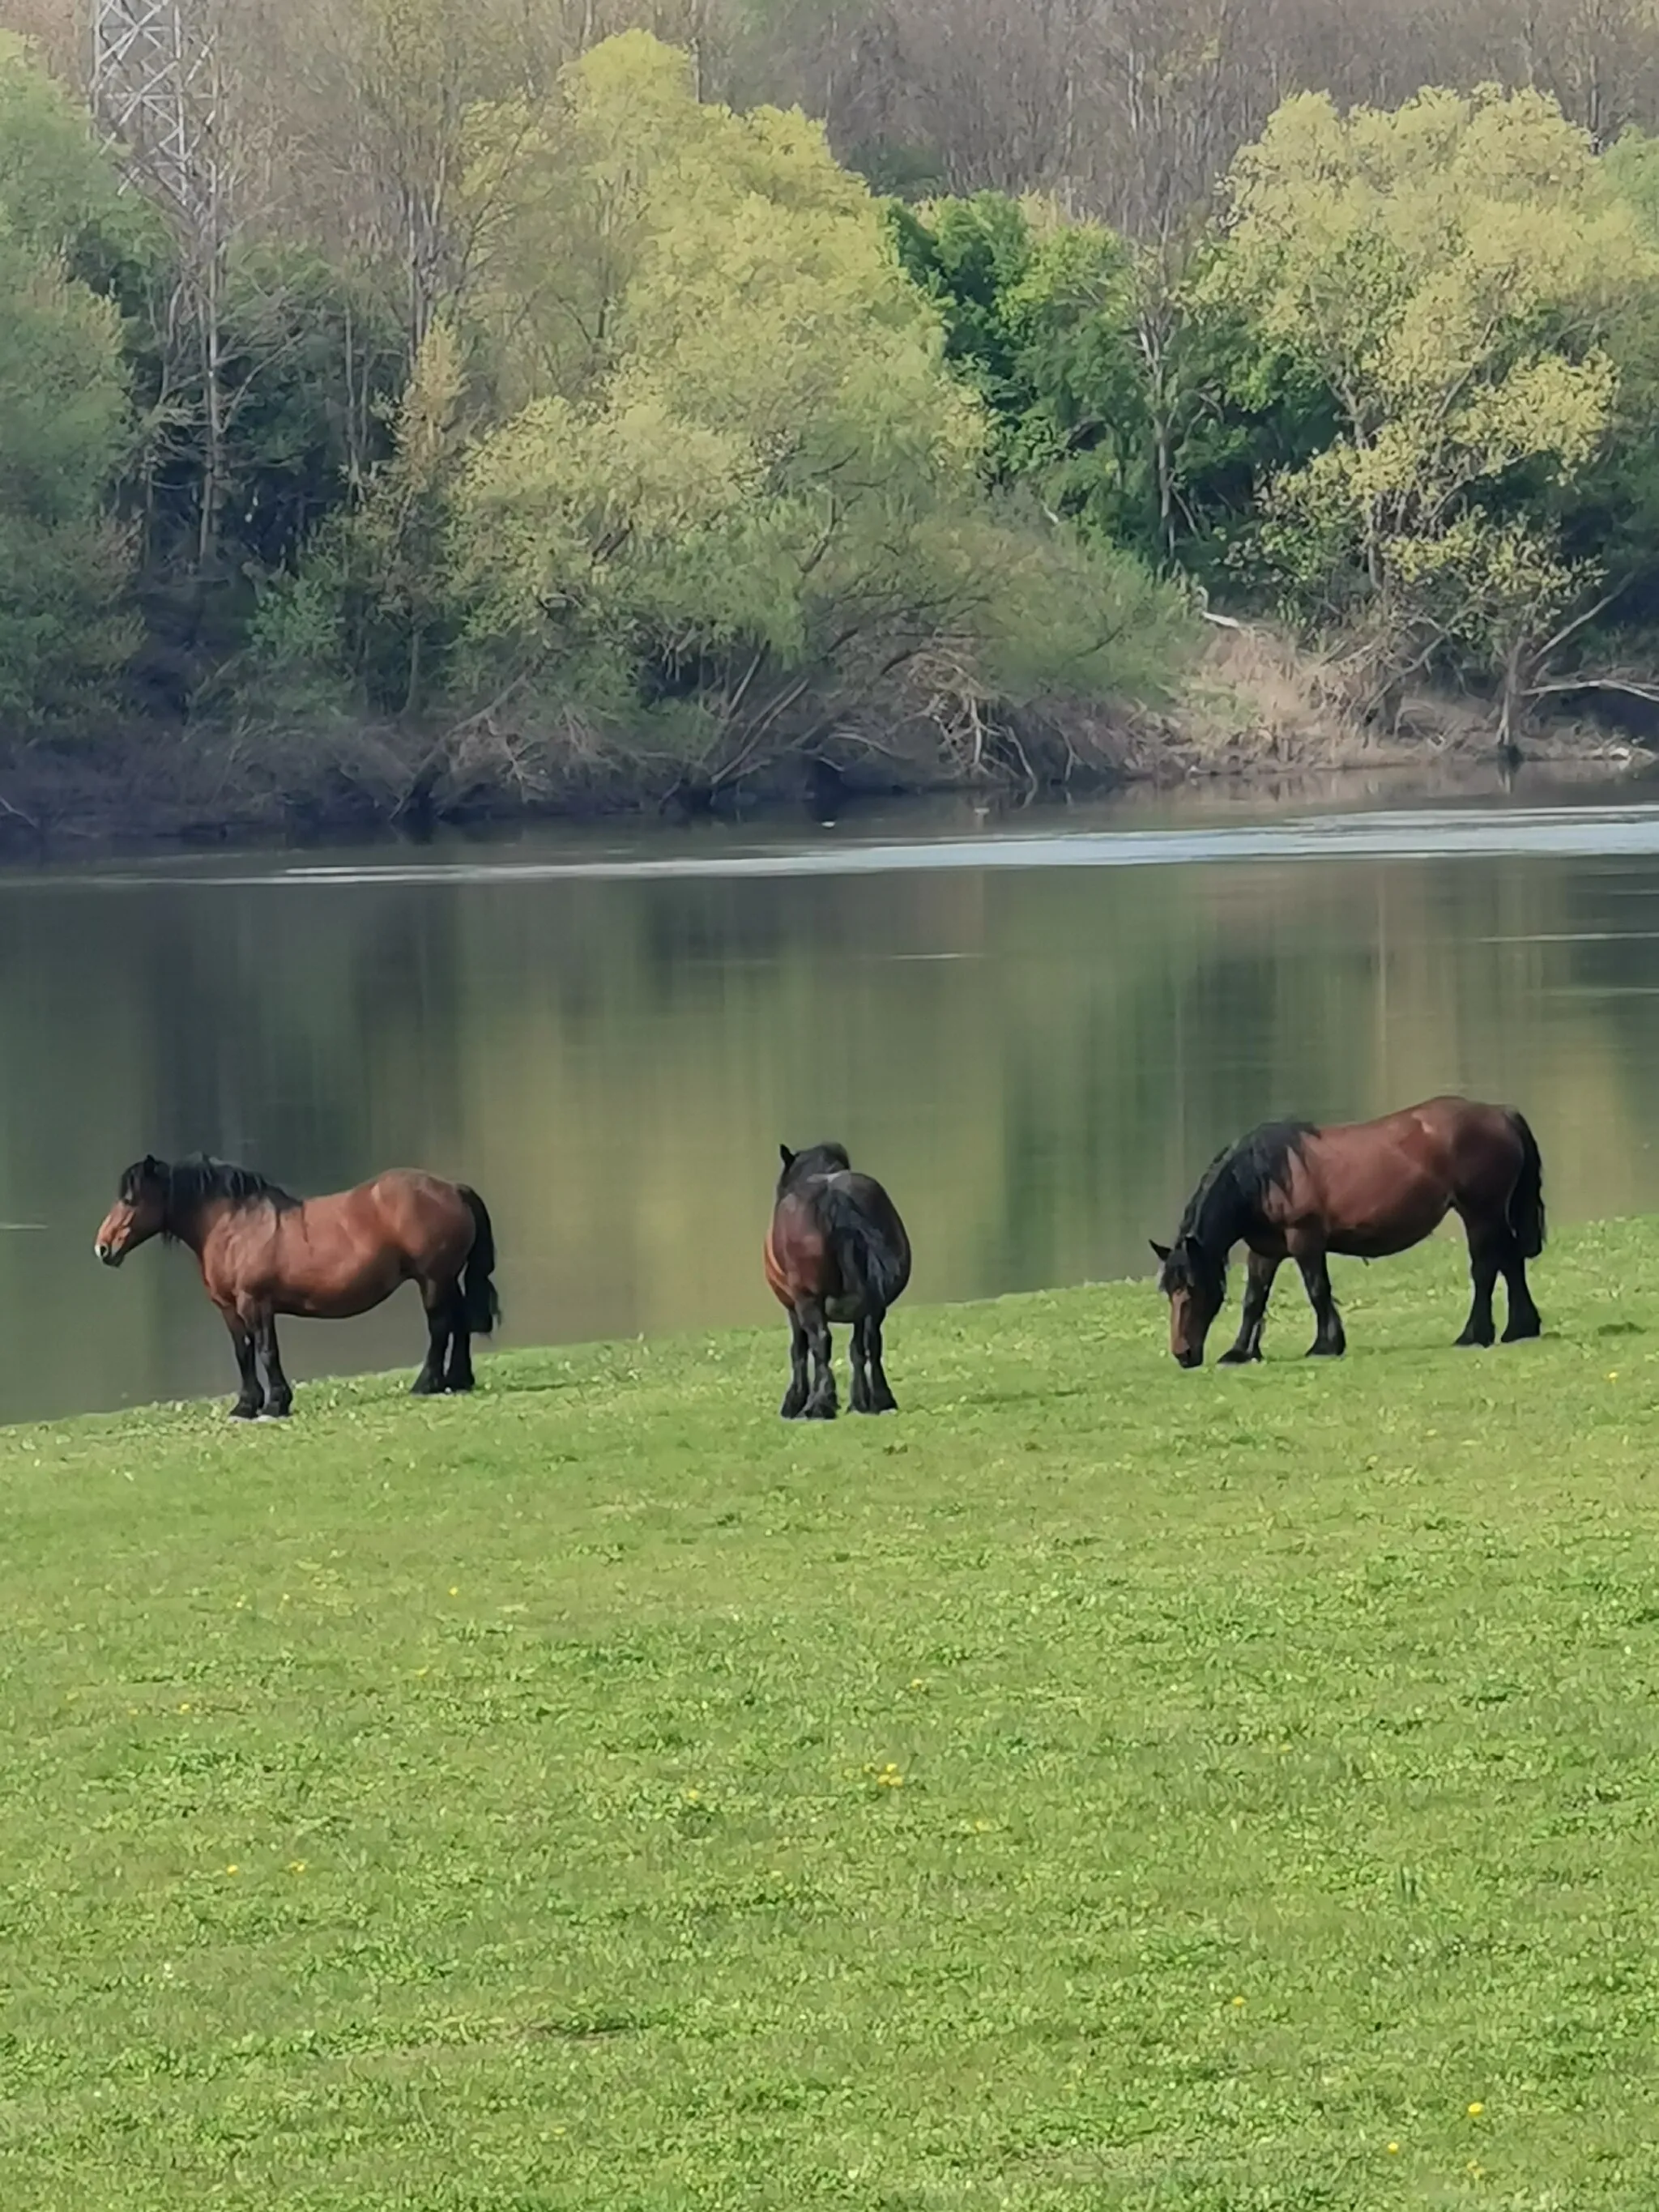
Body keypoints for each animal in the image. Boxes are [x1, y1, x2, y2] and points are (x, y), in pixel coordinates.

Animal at [96, 1159, 500, 1415]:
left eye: (130, 1199)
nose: (103, 1247)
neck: (234, 1226)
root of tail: (453, 1188)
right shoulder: (229, 1308)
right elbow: (243, 1353)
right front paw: (246, 1405)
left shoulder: (255, 1303)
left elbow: (266, 1352)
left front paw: (276, 1403)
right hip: (446, 1280)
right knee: (459, 1324)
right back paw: (457, 1379)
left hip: (432, 1280)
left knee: (440, 1327)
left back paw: (427, 1382)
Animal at [770, 1141, 915, 1415]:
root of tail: (835, 1197)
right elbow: (858, 1349)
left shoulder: (794, 1307)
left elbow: (800, 1350)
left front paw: (795, 1401)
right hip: (873, 1303)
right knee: (870, 1341)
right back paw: (877, 1399)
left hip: (809, 1300)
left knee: (821, 1342)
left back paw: (819, 1405)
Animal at [1158, 1102, 1548, 1371]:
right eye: (1169, 1291)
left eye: (1191, 1289)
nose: (1182, 1354)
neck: (1266, 1177)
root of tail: (1500, 1113)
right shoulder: (1266, 1251)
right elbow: (1254, 1299)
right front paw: (1240, 1351)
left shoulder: (1305, 1241)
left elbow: (1318, 1290)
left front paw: (1326, 1344)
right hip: (1492, 1216)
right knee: (1510, 1262)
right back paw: (1520, 1328)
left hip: (1480, 1214)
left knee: (1485, 1270)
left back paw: (1474, 1335)